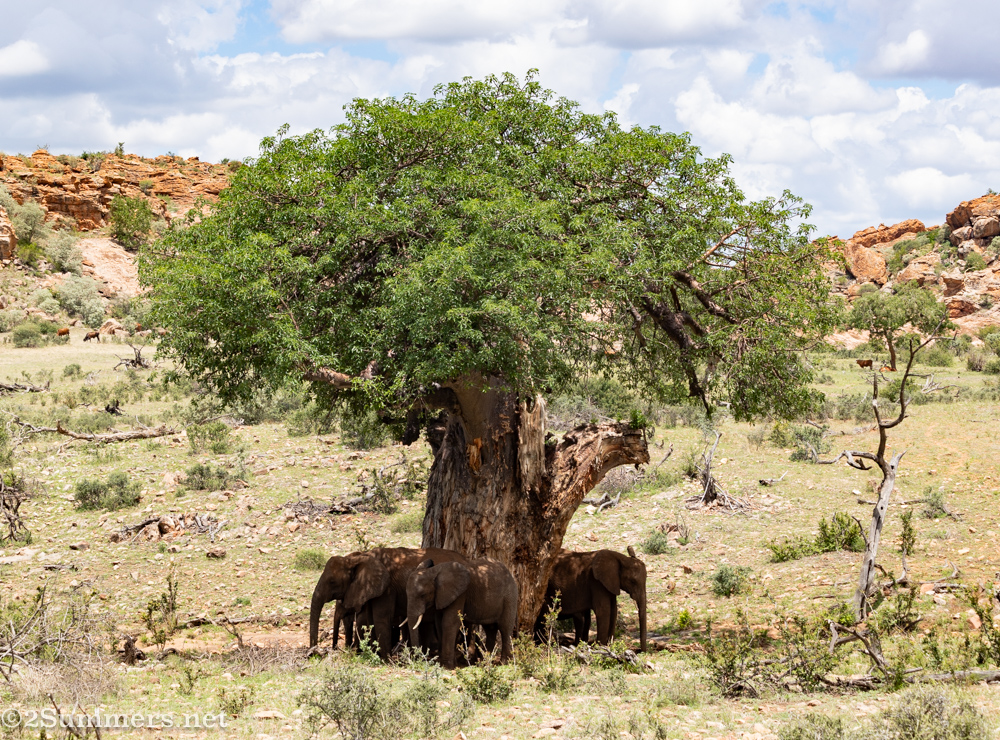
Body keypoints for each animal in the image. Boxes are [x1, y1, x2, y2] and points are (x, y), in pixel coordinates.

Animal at [309, 547, 469, 659]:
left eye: (332, 582)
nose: (313, 654)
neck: (360, 557)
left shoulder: (386, 588)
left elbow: (380, 618)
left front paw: (385, 660)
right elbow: (368, 620)